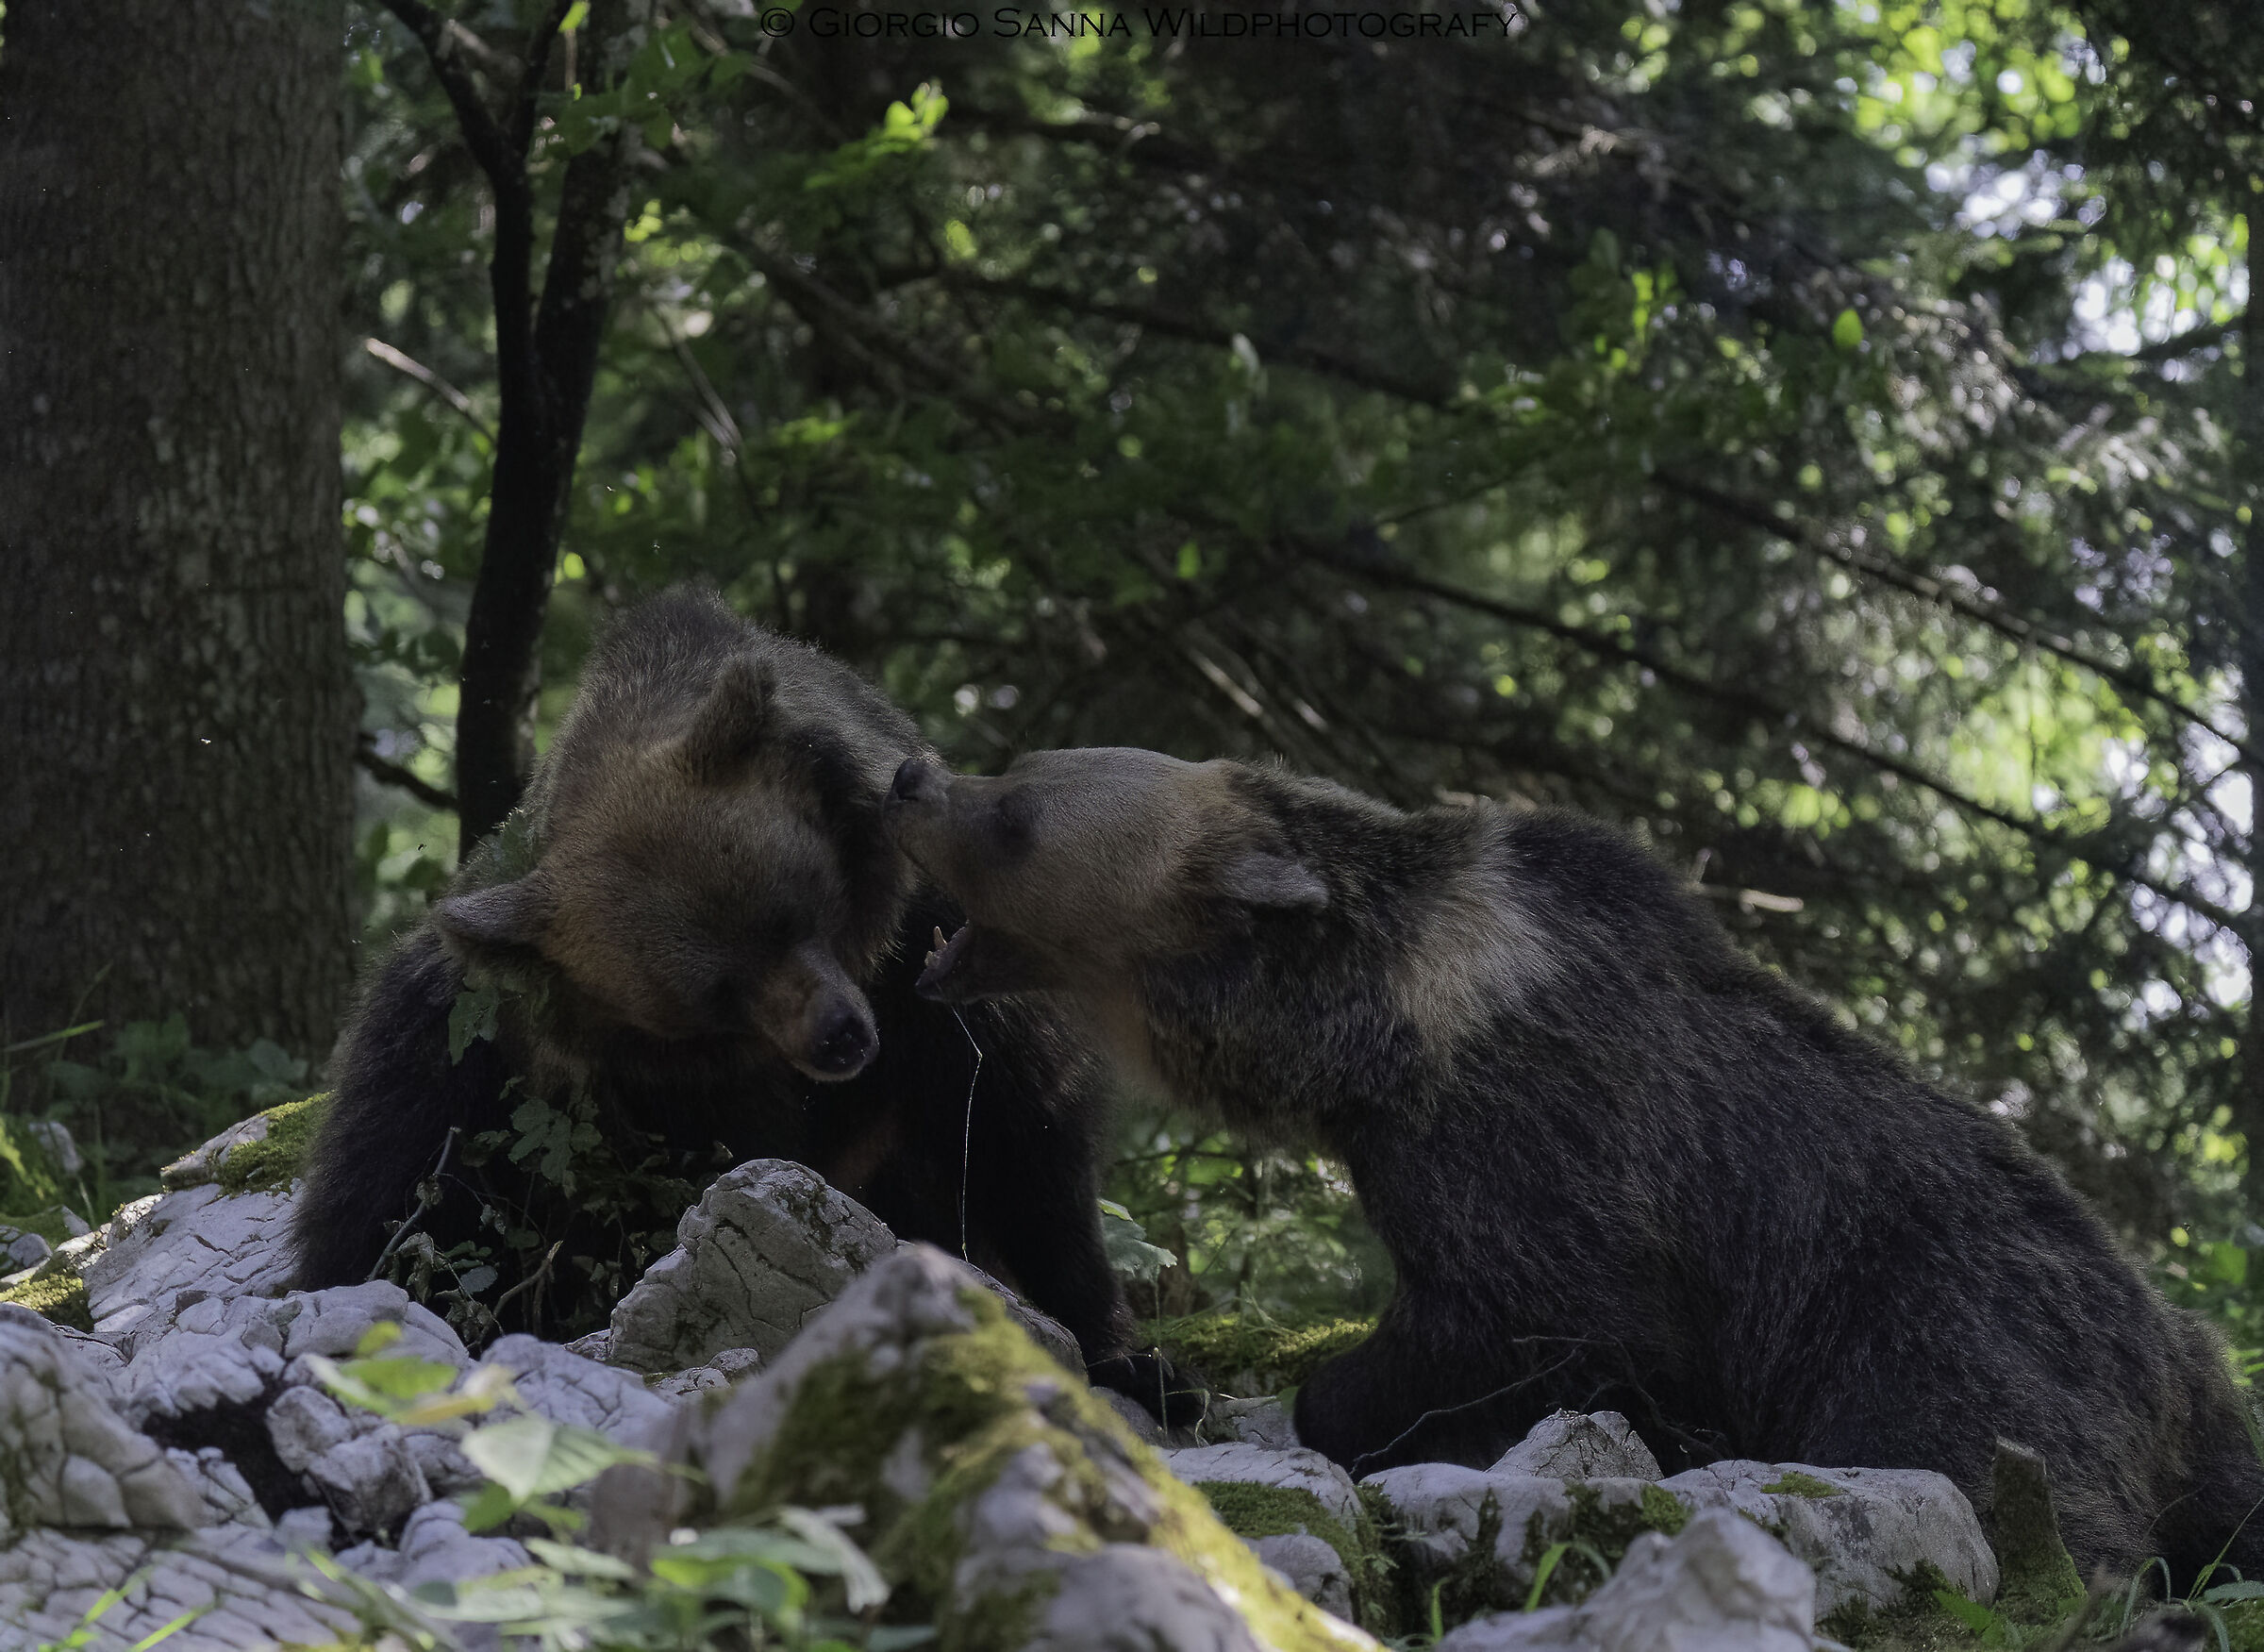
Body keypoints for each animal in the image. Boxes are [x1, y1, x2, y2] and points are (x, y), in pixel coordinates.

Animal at [295, 591, 1184, 1413]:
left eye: (786, 911)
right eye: (713, 993)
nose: (839, 1037)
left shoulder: (939, 957)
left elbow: (1019, 1129)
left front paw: (1134, 1358)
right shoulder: (648, 1093)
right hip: (453, 1056)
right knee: (393, 1194)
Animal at [882, 743, 2264, 1584]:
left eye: (1016, 811)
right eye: (1015, 771)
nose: (909, 771)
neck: (1374, 1038)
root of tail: (2169, 1366)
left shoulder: (1535, 1147)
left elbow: (1530, 1311)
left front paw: (1319, 1403)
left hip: (1951, 1333)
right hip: (2200, 1394)